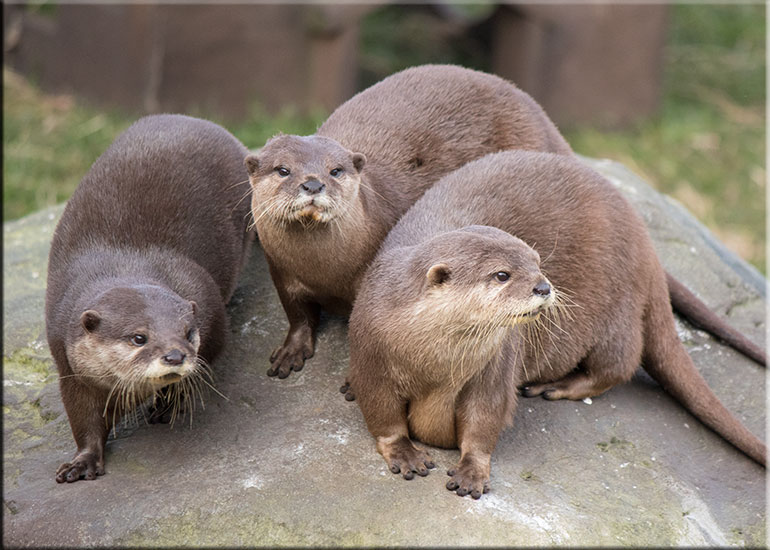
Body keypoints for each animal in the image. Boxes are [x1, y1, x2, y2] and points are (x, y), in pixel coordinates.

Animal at [46, 114, 254, 483]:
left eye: (188, 332)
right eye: (139, 338)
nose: (174, 355)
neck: (125, 264)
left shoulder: (210, 312)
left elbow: (206, 360)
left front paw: (171, 402)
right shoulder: (67, 362)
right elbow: (83, 419)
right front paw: (81, 462)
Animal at [245, 64, 573, 378]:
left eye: (335, 170)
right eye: (283, 170)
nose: (313, 184)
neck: (321, 270)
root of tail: (539, 115)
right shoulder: (280, 271)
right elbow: (297, 314)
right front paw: (291, 351)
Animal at [348, 151, 766, 499]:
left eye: (536, 261)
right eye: (502, 274)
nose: (543, 286)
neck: (434, 362)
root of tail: (646, 246)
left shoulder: (493, 370)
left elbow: (485, 418)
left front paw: (471, 472)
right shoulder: (370, 351)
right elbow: (382, 412)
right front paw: (405, 453)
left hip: (616, 308)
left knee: (619, 363)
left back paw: (557, 386)